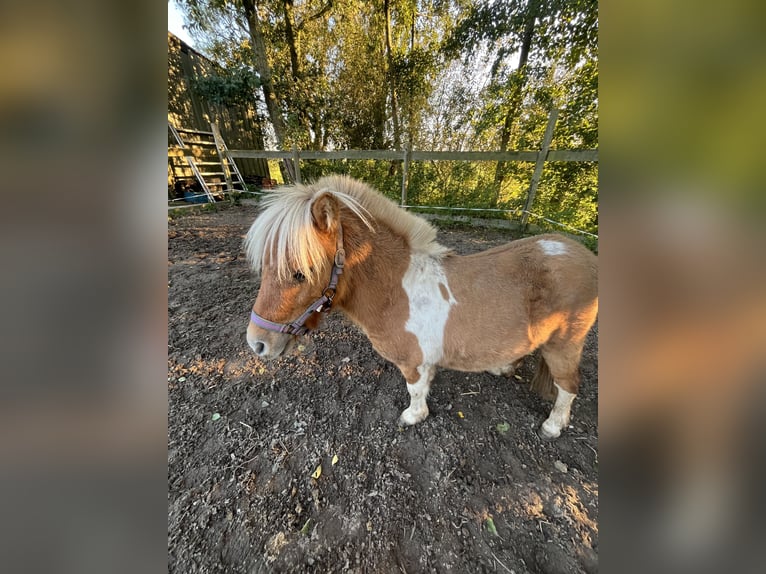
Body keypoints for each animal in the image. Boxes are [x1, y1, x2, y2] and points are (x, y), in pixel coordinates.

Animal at [246, 176, 600, 440]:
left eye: (299, 273)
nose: (256, 343)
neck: (394, 290)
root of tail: (586, 256)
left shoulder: (411, 360)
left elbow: (414, 389)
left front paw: (413, 416)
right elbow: (424, 384)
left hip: (564, 347)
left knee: (568, 386)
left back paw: (553, 426)